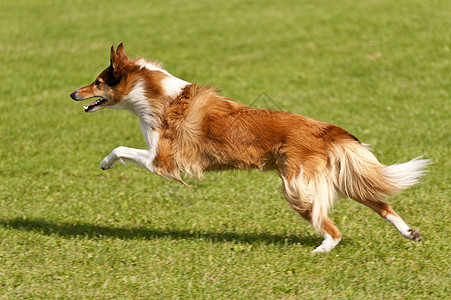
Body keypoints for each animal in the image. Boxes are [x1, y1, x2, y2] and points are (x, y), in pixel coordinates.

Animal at [70, 43, 430, 252]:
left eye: (98, 82)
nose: (73, 93)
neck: (153, 93)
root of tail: (324, 129)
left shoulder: (163, 160)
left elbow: (120, 149)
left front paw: (105, 163)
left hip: (297, 189)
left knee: (332, 228)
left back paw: (321, 250)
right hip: (341, 180)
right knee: (381, 204)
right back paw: (409, 233)